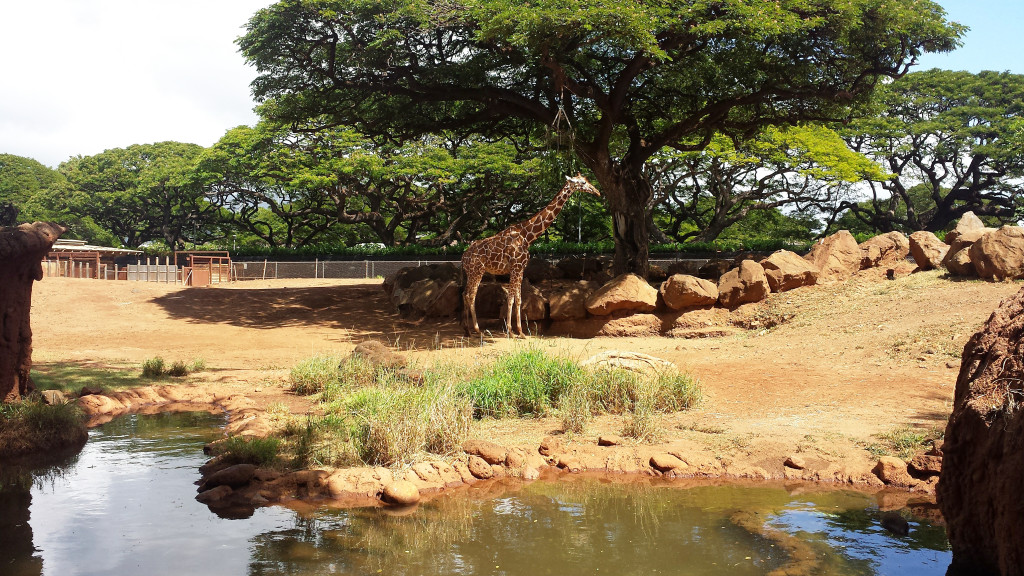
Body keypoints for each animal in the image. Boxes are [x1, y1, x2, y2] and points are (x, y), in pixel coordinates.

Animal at [464, 175, 598, 336]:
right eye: (583, 182)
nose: (597, 192)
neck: (527, 236)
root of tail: (463, 257)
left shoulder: (521, 269)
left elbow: (519, 299)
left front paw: (521, 332)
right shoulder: (515, 268)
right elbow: (510, 298)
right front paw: (511, 331)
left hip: (470, 272)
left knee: (464, 294)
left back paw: (466, 330)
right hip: (476, 271)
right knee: (471, 296)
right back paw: (477, 330)